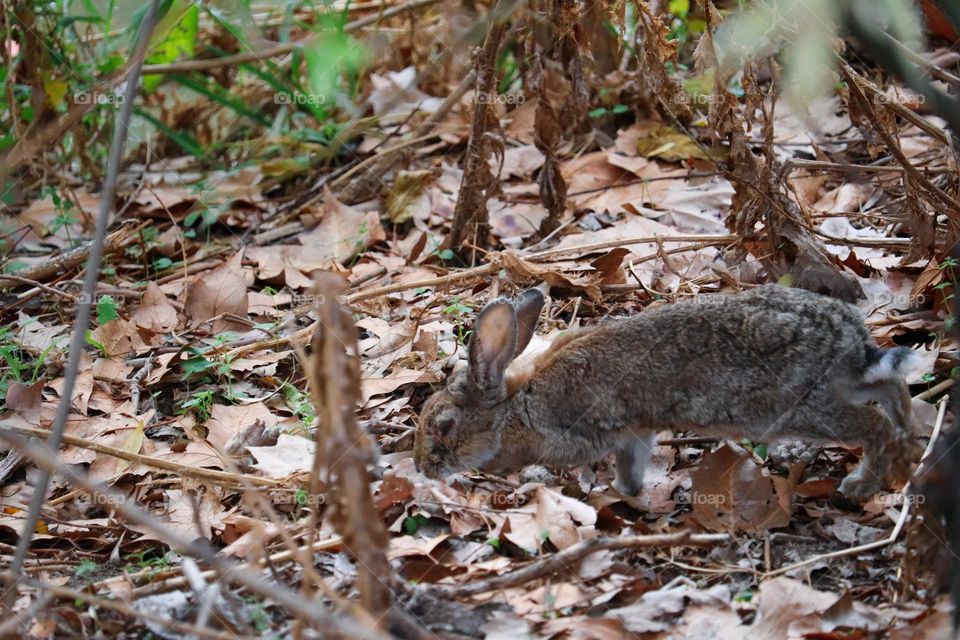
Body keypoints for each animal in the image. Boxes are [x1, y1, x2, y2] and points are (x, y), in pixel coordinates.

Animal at [414, 284, 919, 500]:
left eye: (443, 427)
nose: (422, 469)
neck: (514, 408)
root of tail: (848, 336)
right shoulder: (633, 433)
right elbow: (631, 465)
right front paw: (628, 493)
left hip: (797, 407)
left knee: (872, 424)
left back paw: (861, 483)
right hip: (839, 383)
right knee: (890, 385)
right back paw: (912, 441)